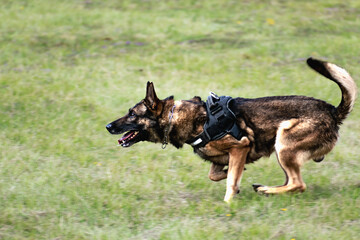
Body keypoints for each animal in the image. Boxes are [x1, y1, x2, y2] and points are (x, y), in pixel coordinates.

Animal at [105, 58, 356, 202]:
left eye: (132, 114)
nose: (108, 126)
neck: (179, 116)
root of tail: (332, 110)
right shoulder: (222, 158)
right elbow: (217, 174)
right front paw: (237, 177)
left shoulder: (240, 147)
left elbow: (229, 181)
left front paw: (228, 202)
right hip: (283, 152)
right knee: (291, 183)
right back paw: (264, 188)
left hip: (284, 143)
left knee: (298, 184)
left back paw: (265, 190)